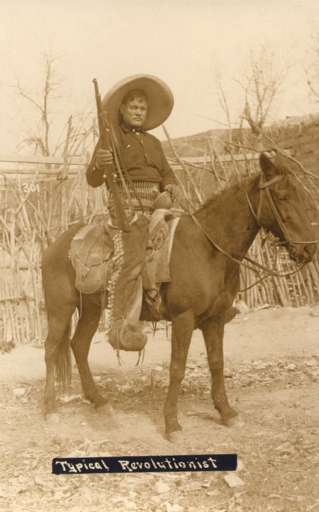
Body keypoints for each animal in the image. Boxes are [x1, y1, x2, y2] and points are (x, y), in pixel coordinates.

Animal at [41, 151, 316, 436]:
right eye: (282, 196)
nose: (309, 248)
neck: (207, 248)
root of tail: (56, 245)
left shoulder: (215, 319)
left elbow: (216, 363)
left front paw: (226, 412)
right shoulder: (184, 319)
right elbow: (177, 368)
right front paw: (171, 422)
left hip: (91, 309)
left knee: (78, 346)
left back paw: (99, 402)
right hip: (60, 308)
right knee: (51, 349)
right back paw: (50, 409)